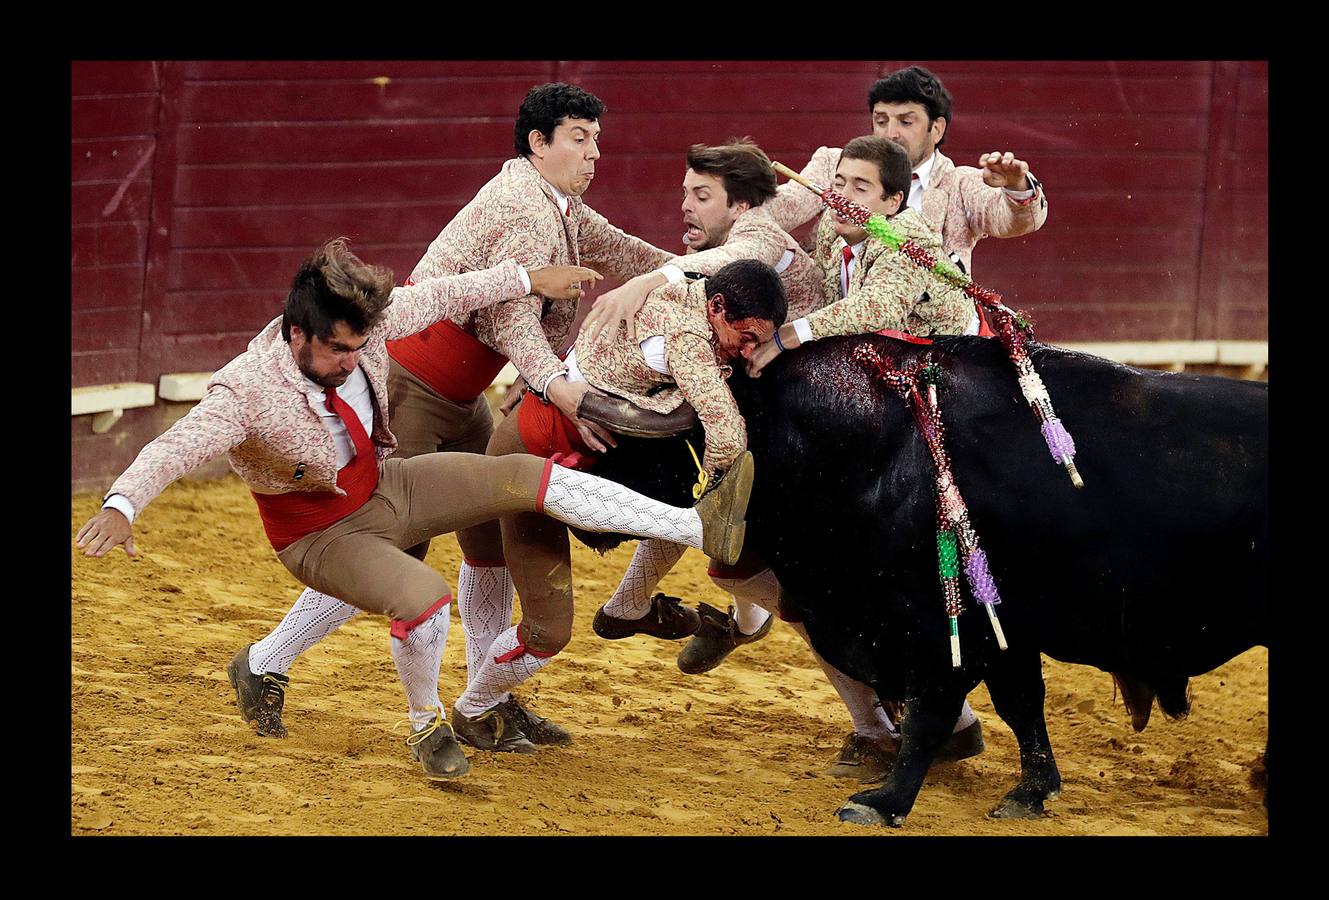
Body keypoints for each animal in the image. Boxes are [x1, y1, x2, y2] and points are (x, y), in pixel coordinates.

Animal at [574, 333, 1265, 824]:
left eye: (620, 437)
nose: (588, 528)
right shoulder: (1003, 629)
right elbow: (1022, 704)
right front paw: (1032, 791)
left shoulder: (941, 631)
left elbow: (932, 712)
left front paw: (883, 802)